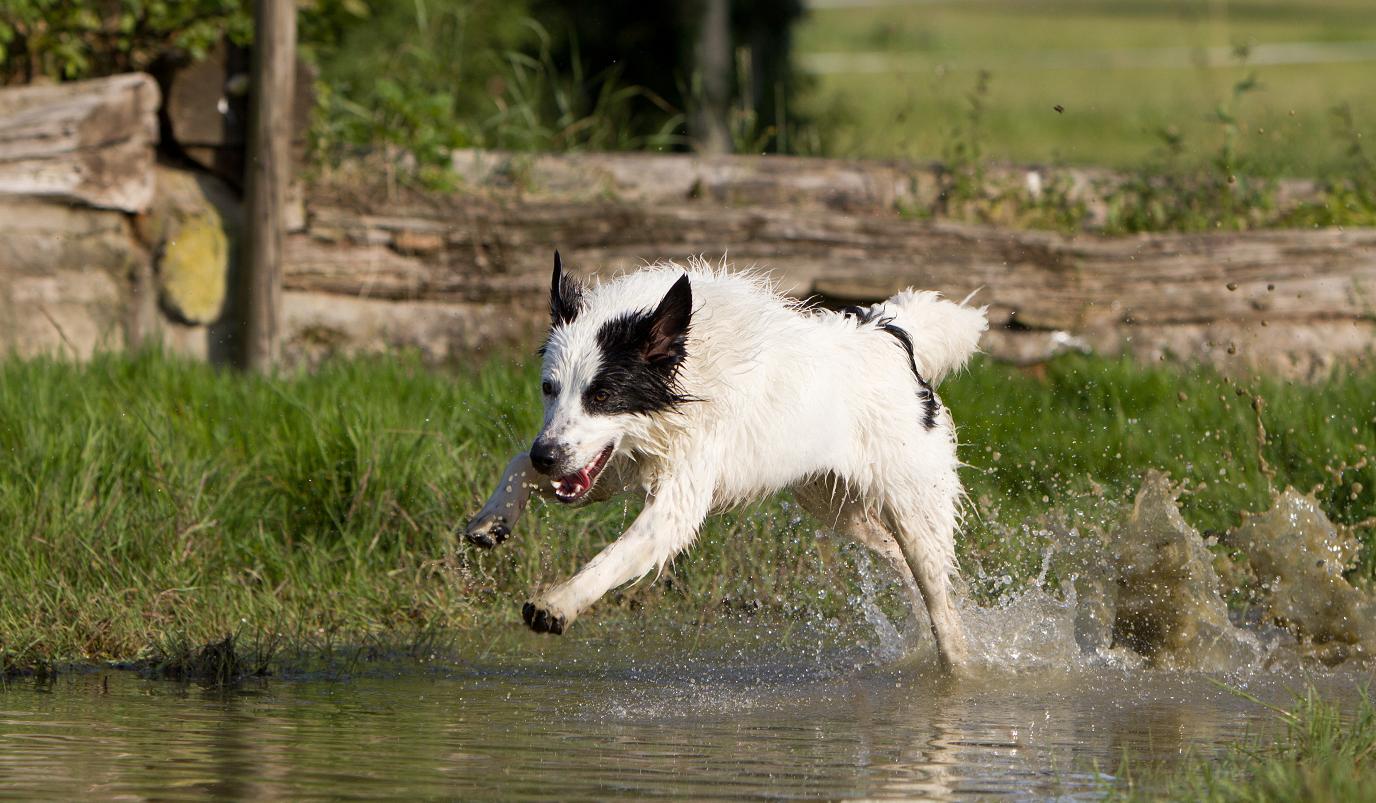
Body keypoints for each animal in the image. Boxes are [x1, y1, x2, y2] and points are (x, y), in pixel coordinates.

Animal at [467, 255, 985, 671]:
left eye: (602, 395)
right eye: (548, 388)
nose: (547, 454)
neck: (686, 365)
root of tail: (889, 335)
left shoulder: (677, 499)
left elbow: (615, 554)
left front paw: (557, 605)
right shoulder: (614, 462)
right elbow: (520, 463)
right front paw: (492, 520)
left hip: (914, 504)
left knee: (938, 599)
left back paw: (957, 671)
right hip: (832, 503)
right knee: (901, 562)